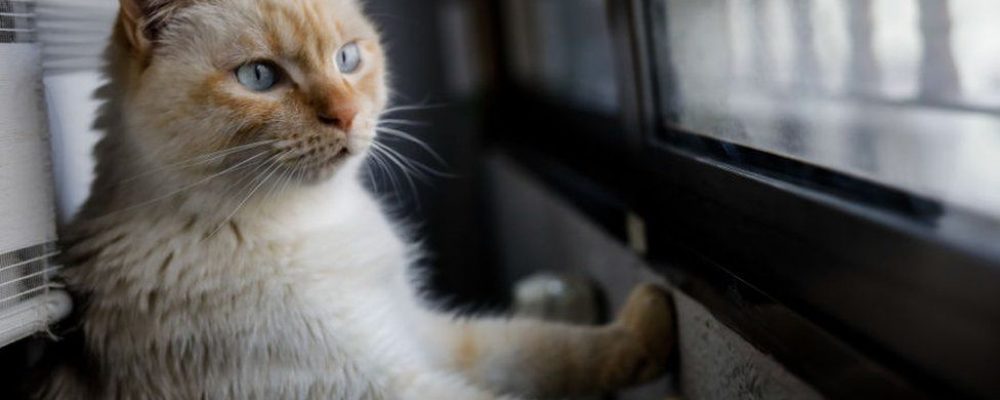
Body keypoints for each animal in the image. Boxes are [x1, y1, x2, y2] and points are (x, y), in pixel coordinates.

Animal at [35, 0, 674, 398]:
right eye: (260, 77)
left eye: (348, 58)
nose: (346, 115)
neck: (309, 221)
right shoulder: (385, 383)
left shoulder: (418, 334)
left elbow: (549, 347)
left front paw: (649, 319)